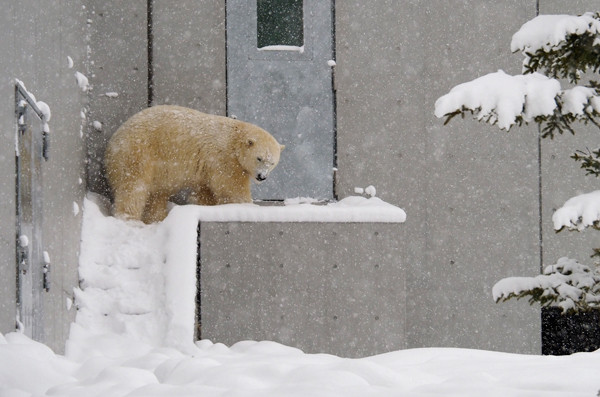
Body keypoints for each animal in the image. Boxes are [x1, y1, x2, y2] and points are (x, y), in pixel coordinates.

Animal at [104, 105, 284, 223]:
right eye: (259, 158)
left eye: (272, 162)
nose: (262, 177)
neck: (234, 139)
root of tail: (113, 142)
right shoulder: (224, 159)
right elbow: (231, 187)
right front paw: (248, 206)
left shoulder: (208, 167)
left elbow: (205, 190)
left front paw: (204, 205)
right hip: (139, 152)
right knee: (134, 186)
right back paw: (130, 219)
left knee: (156, 194)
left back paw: (157, 218)